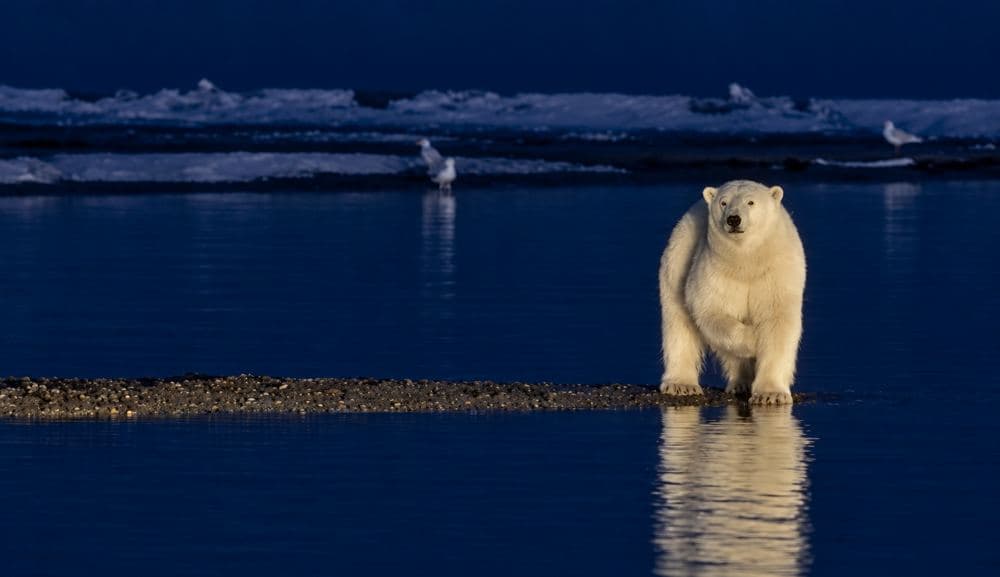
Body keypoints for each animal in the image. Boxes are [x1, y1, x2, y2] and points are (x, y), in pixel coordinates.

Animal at [658, 180, 806, 405]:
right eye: (723, 202)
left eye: (750, 202)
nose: (733, 219)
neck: (746, 262)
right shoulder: (715, 270)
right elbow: (712, 311)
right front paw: (753, 340)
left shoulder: (777, 273)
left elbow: (777, 324)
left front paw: (770, 394)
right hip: (678, 259)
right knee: (678, 324)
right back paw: (682, 384)